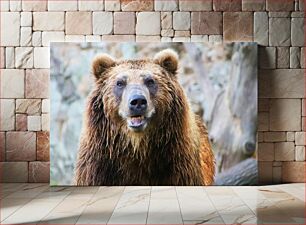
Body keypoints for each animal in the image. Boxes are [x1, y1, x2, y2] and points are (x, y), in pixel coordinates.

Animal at [74, 49, 215, 186]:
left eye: (150, 81)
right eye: (120, 83)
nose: (137, 101)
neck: (138, 146)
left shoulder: (178, 165)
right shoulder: (99, 165)